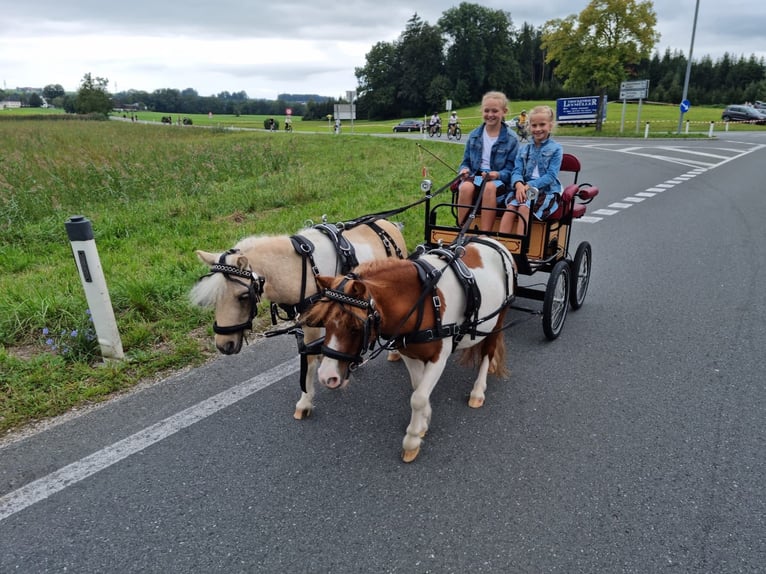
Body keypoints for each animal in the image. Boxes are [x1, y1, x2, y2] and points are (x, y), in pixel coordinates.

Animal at [190, 218, 408, 420]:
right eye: (214, 299)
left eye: (243, 296)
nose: (223, 345)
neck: (295, 269)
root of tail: (388, 223)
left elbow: (309, 358)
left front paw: (305, 402)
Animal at [304, 237, 520, 464]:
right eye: (325, 322)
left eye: (355, 327)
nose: (326, 377)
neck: (423, 300)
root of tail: (494, 241)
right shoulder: (409, 352)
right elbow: (418, 387)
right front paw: (424, 421)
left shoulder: (438, 358)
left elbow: (418, 398)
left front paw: (412, 440)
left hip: (499, 319)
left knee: (488, 351)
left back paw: (478, 390)